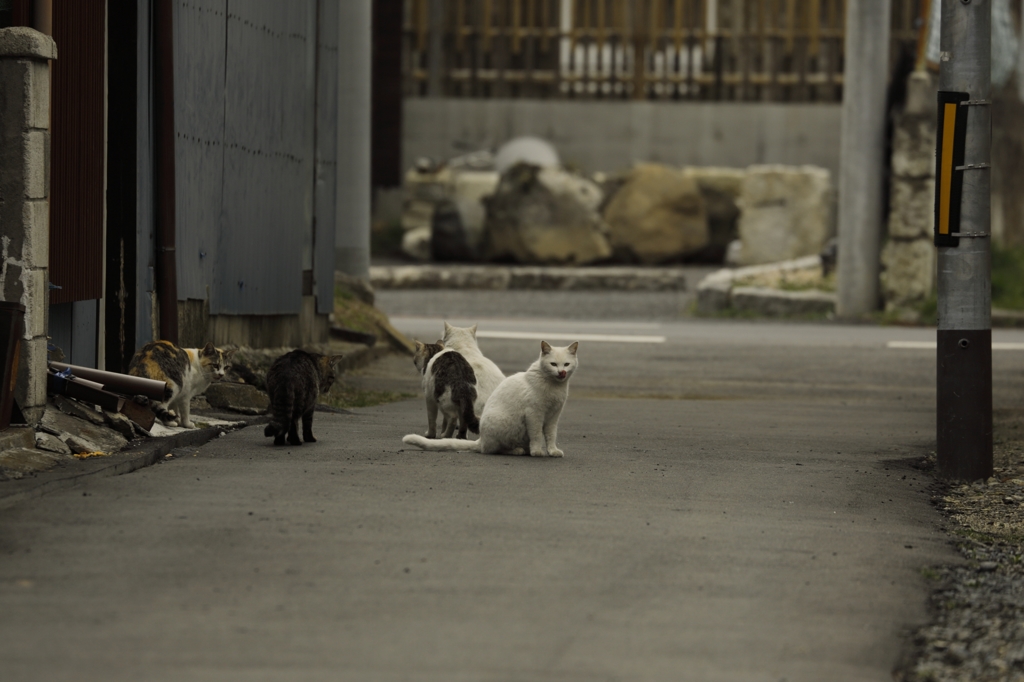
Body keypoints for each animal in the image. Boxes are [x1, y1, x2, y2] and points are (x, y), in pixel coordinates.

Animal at [401, 339, 581, 456]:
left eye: (566, 364)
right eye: (553, 364)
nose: (562, 372)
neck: (554, 387)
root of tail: (481, 439)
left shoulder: (553, 417)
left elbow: (551, 435)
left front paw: (552, 451)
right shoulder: (534, 415)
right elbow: (537, 435)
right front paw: (537, 451)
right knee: (493, 449)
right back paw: (518, 450)